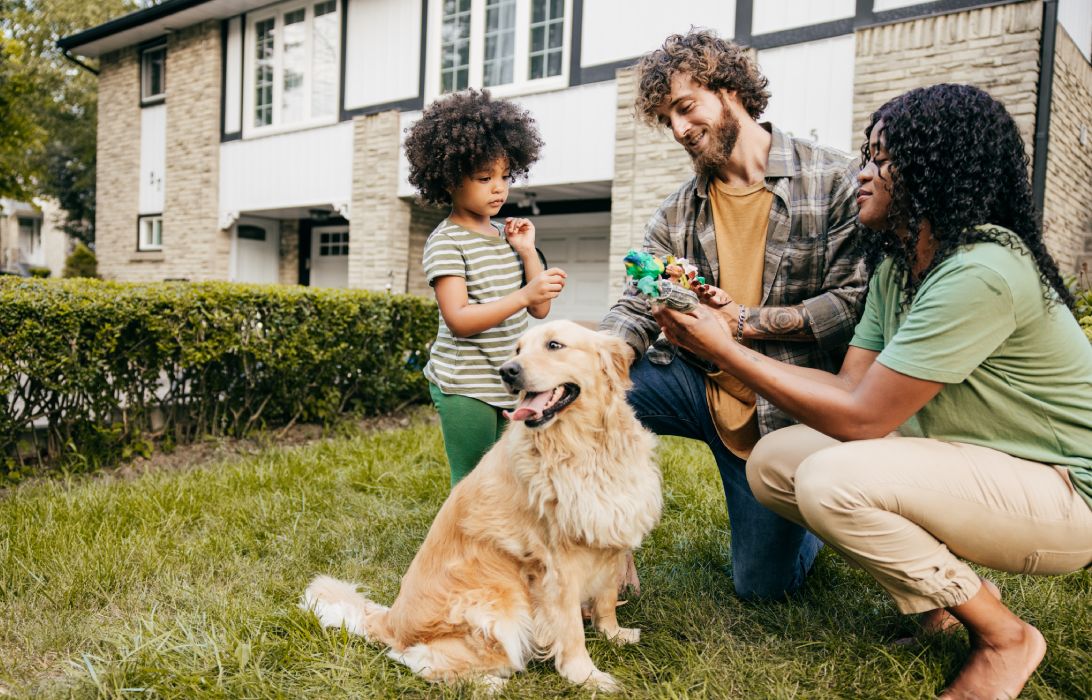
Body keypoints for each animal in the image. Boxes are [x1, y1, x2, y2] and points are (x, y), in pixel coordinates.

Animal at [301, 318, 655, 690]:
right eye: (517, 349)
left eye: (554, 345)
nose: (507, 371)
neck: (584, 447)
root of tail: (390, 621)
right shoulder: (557, 565)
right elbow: (571, 629)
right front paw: (586, 675)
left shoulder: (611, 534)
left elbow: (606, 600)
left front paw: (615, 634)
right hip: (498, 603)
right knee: (417, 659)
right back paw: (489, 684)